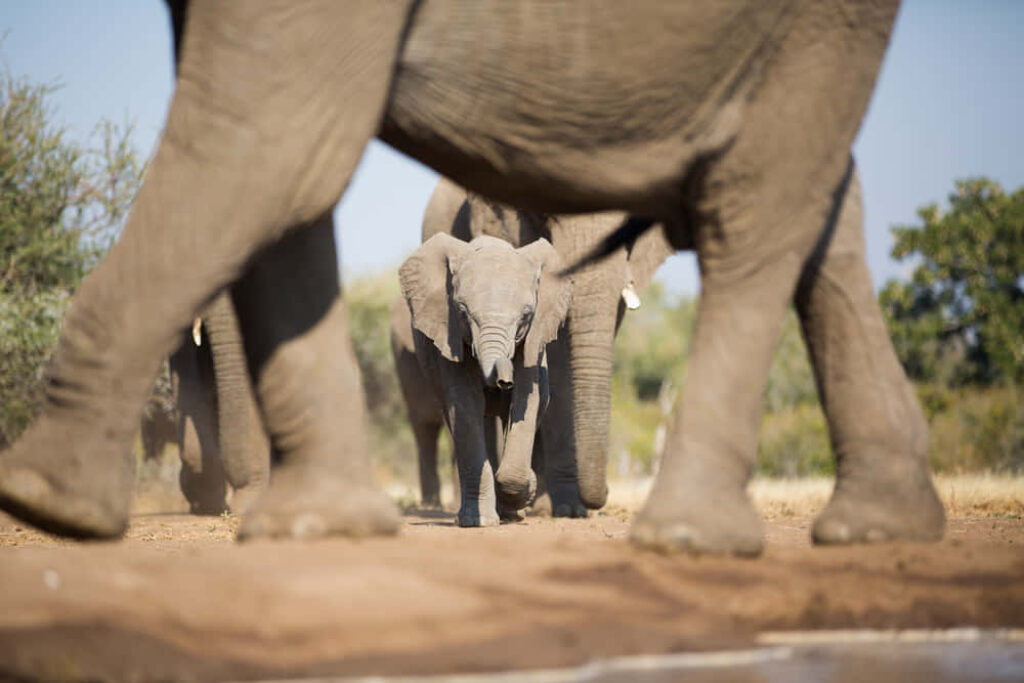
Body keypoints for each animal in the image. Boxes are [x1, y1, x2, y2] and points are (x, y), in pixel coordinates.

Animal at [396, 235, 572, 526]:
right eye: (462, 311)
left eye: (526, 315)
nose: (503, 382)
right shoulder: (449, 336)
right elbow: (465, 406)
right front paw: (478, 522)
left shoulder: (532, 342)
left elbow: (527, 402)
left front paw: (521, 496)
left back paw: (512, 512)